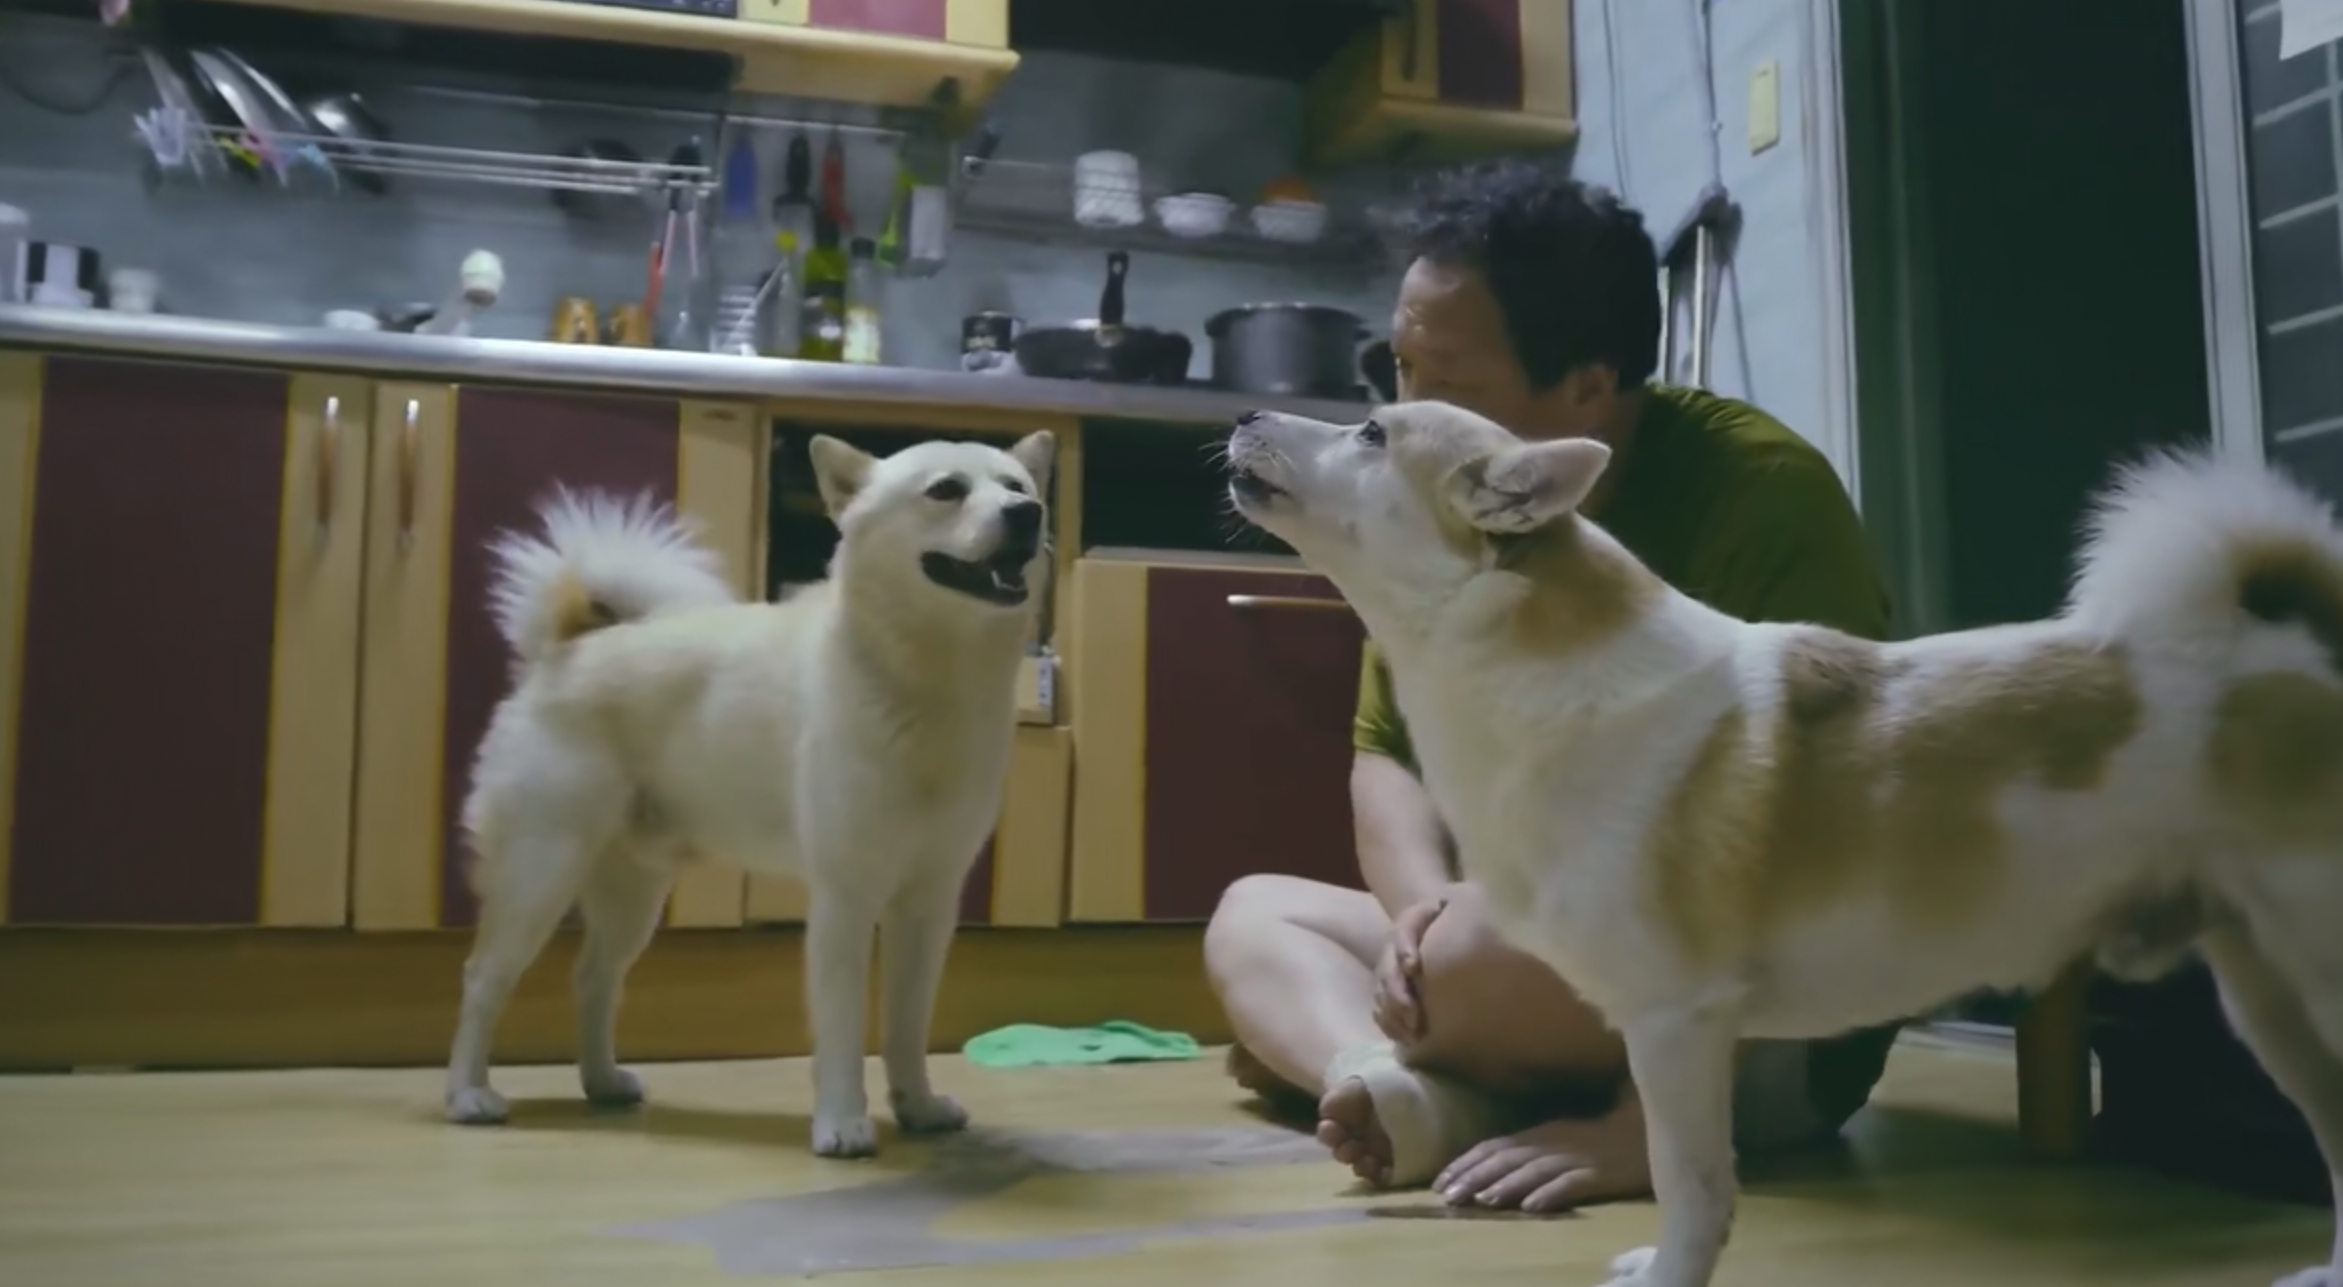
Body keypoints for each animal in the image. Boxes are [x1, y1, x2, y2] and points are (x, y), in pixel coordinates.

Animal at [444, 430, 1054, 1159]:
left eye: (1018, 487)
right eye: (946, 490)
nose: (1029, 515)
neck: (927, 681)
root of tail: (564, 651)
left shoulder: (928, 903)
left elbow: (907, 1024)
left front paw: (919, 1105)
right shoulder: (846, 899)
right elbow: (844, 1029)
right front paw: (842, 1122)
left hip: (631, 893)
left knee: (593, 979)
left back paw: (601, 1082)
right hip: (540, 870)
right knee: (482, 978)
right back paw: (467, 1094)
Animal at [1224, 401, 2343, 1287]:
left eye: (1372, 432)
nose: (1240, 413)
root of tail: (2295, 665)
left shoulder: (1675, 1025)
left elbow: (1690, 1183)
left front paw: (1669, 1277)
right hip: (2269, 1001)